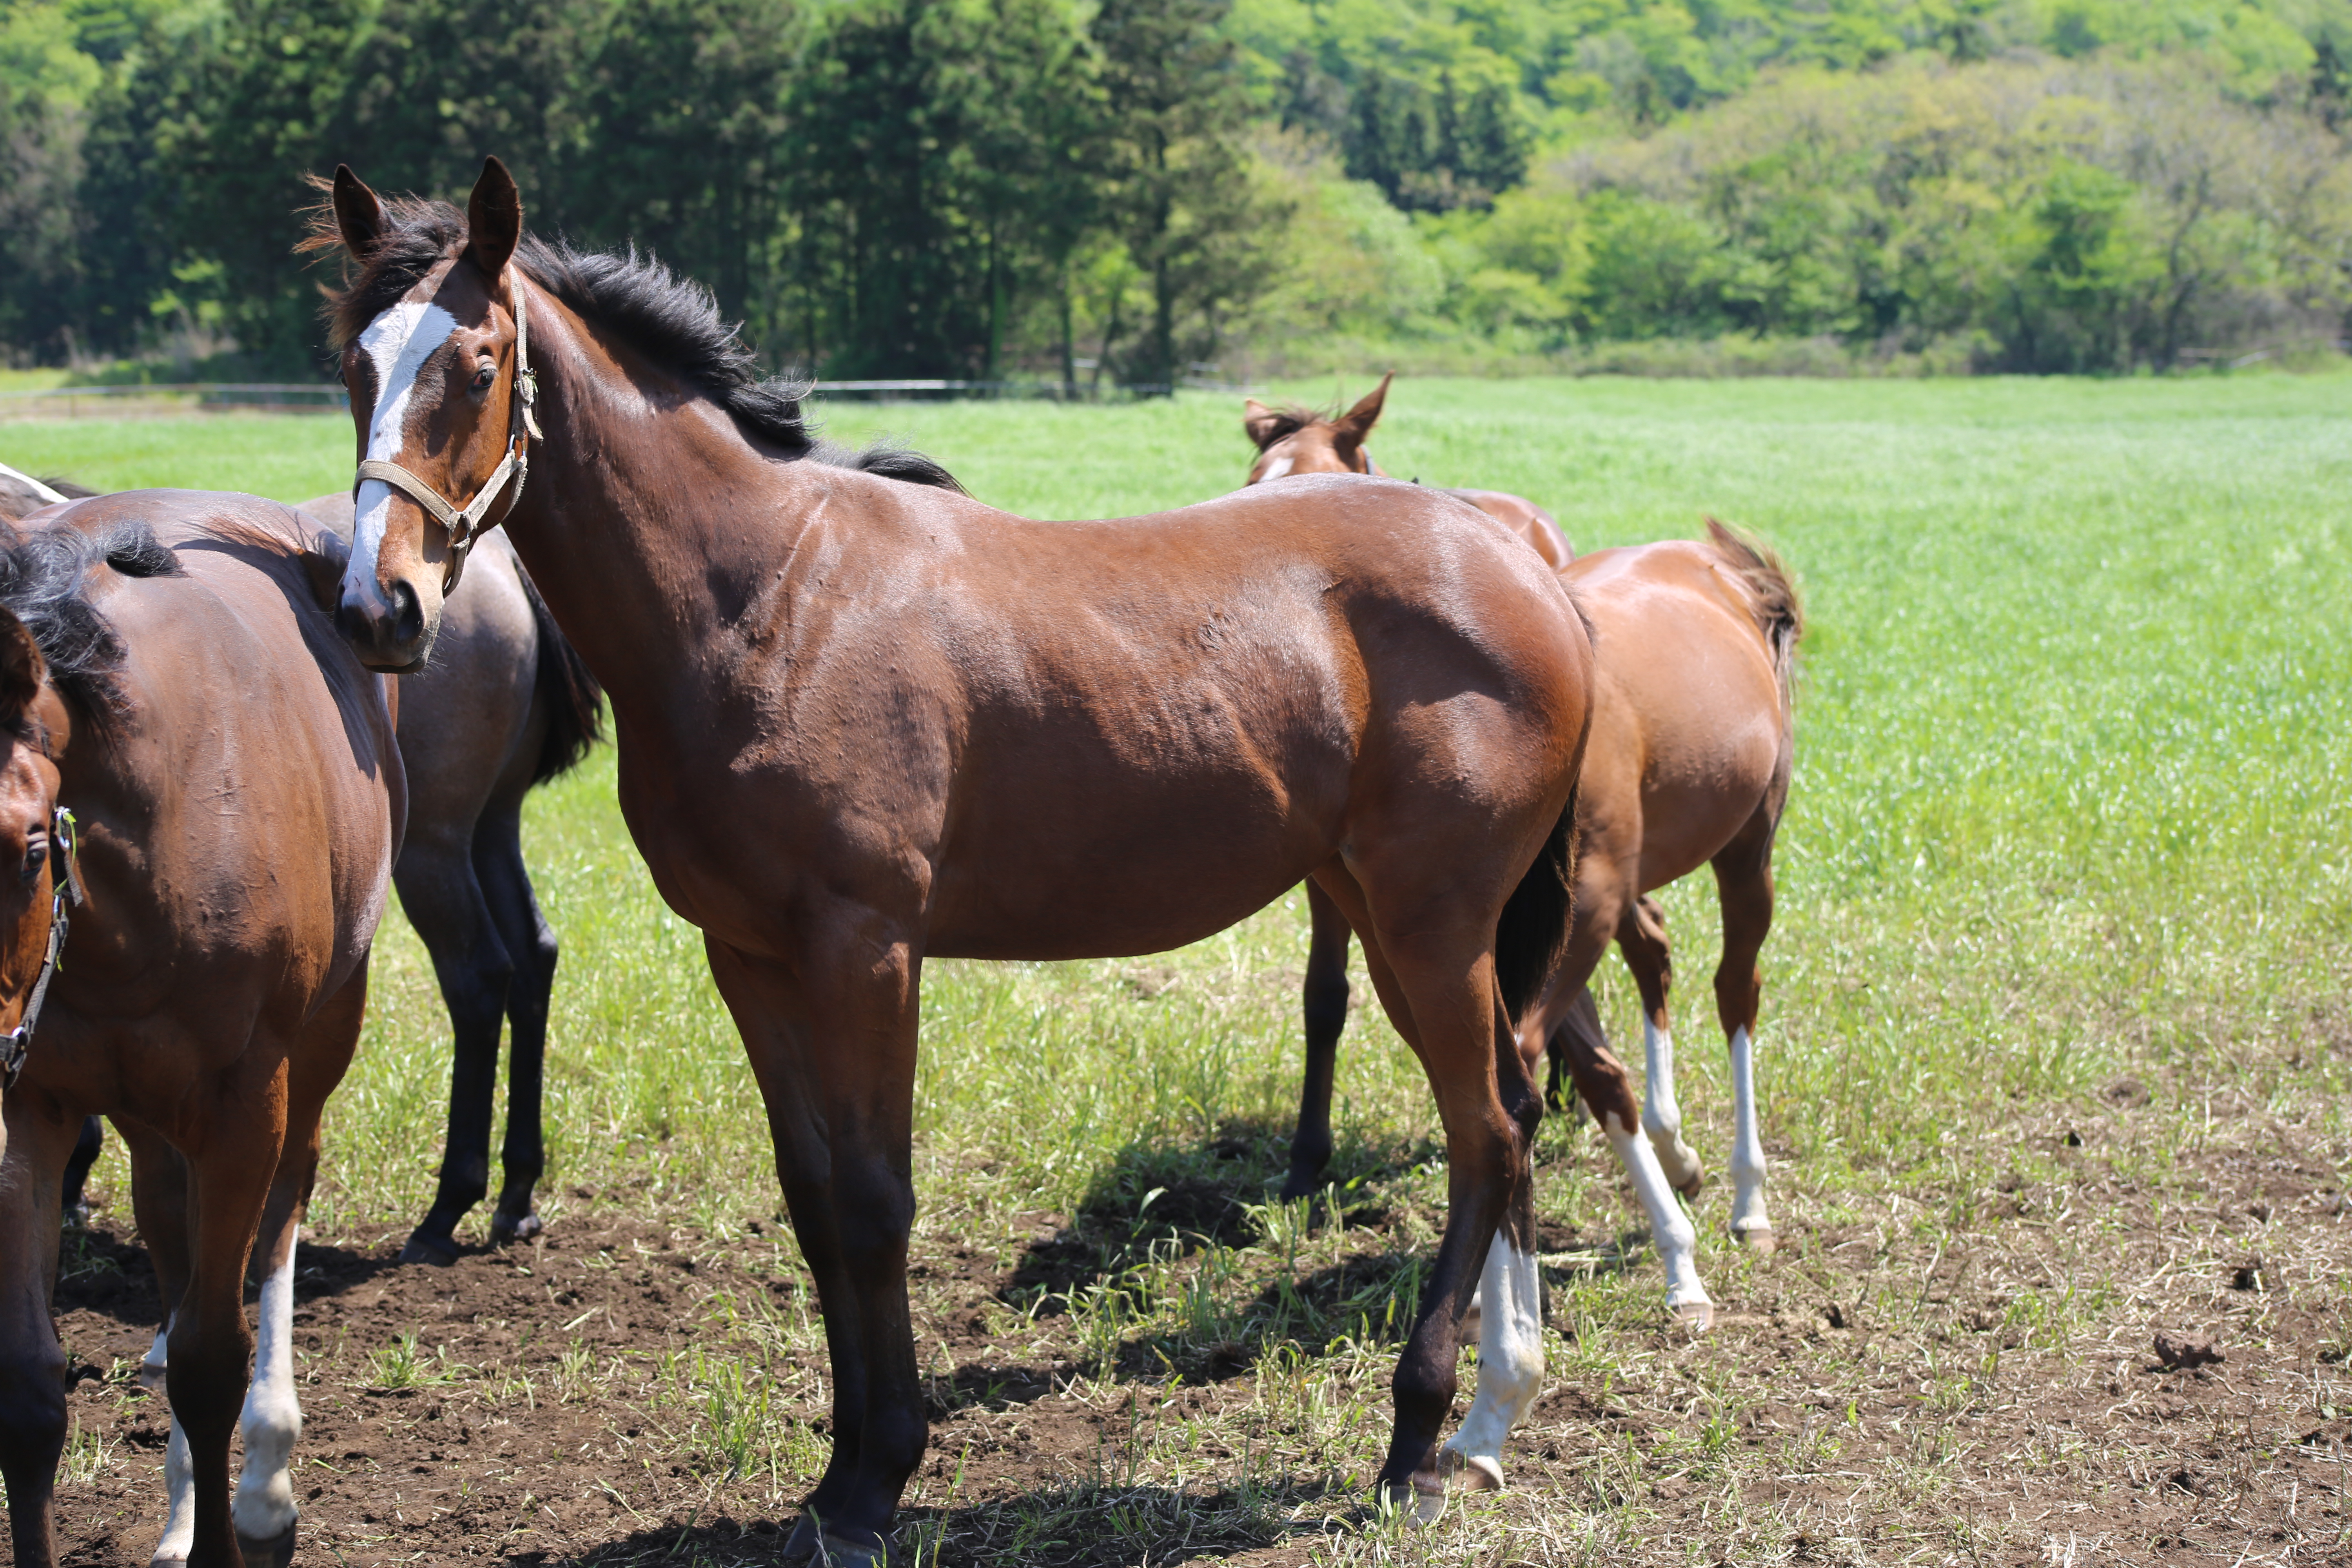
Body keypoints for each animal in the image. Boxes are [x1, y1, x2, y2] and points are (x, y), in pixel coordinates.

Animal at [0, 496, 400, 1568]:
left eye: (27, 847)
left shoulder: (240, 1106)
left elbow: (212, 1361)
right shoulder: (31, 1106)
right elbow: (32, 1386)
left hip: (319, 1041)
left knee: (282, 1208)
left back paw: (262, 1477)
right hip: (144, 1108)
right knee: (167, 1232)